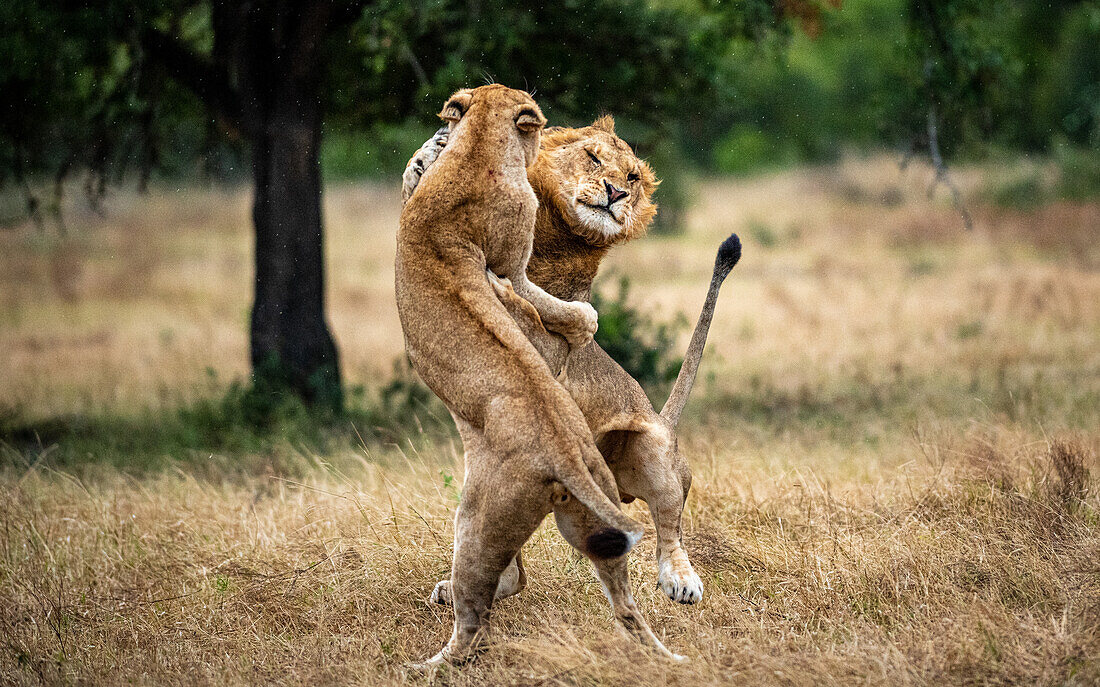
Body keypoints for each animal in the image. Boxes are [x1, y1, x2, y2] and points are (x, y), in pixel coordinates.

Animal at [391, 84, 673, 663]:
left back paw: (427, 665)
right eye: (593, 158)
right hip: (592, 526)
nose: (616, 190)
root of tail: (564, 454)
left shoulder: (512, 263)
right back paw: (666, 657)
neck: (478, 148)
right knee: (624, 603)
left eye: (633, 176)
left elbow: (554, 306)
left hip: (474, 526)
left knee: (473, 620)